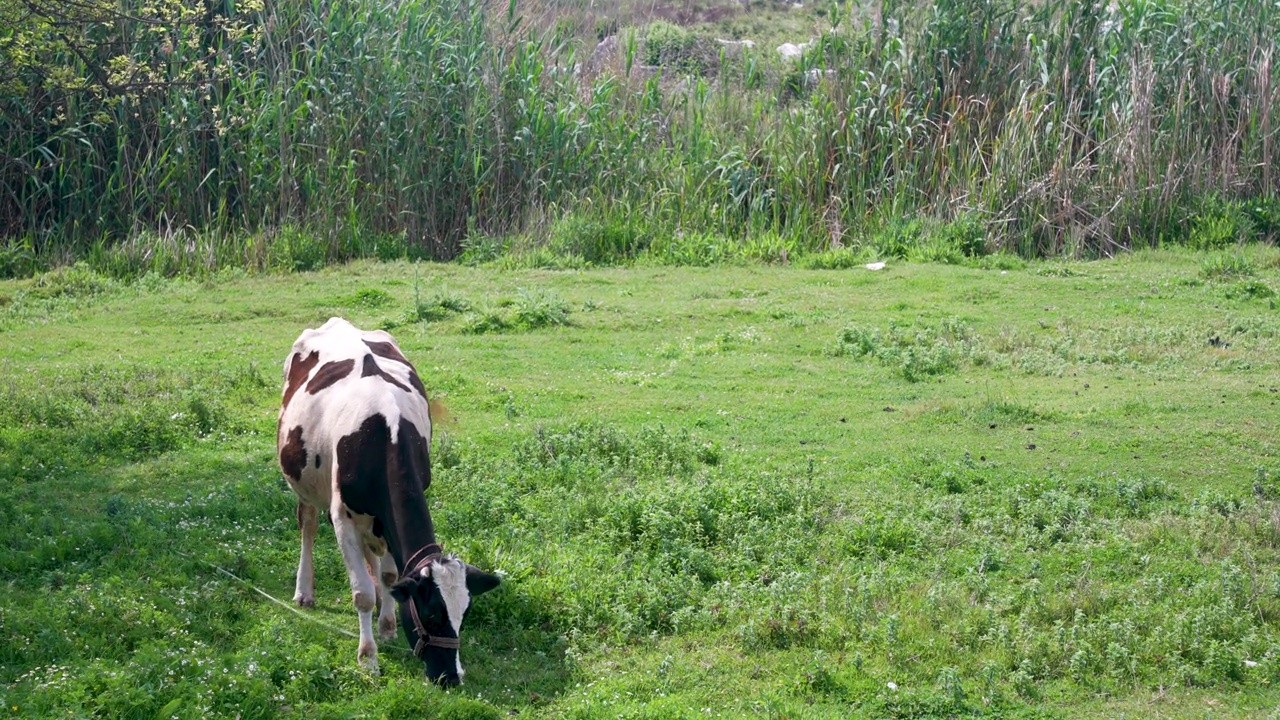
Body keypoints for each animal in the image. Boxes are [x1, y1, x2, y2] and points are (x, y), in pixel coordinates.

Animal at [275, 315, 499, 681]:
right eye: (432, 613)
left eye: (463, 616)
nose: (451, 677)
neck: (385, 433)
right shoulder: (342, 519)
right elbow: (362, 594)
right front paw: (368, 656)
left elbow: (392, 577)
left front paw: (389, 624)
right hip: (303, 482)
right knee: (307, 525)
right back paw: (304, 591)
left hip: (373, 520)